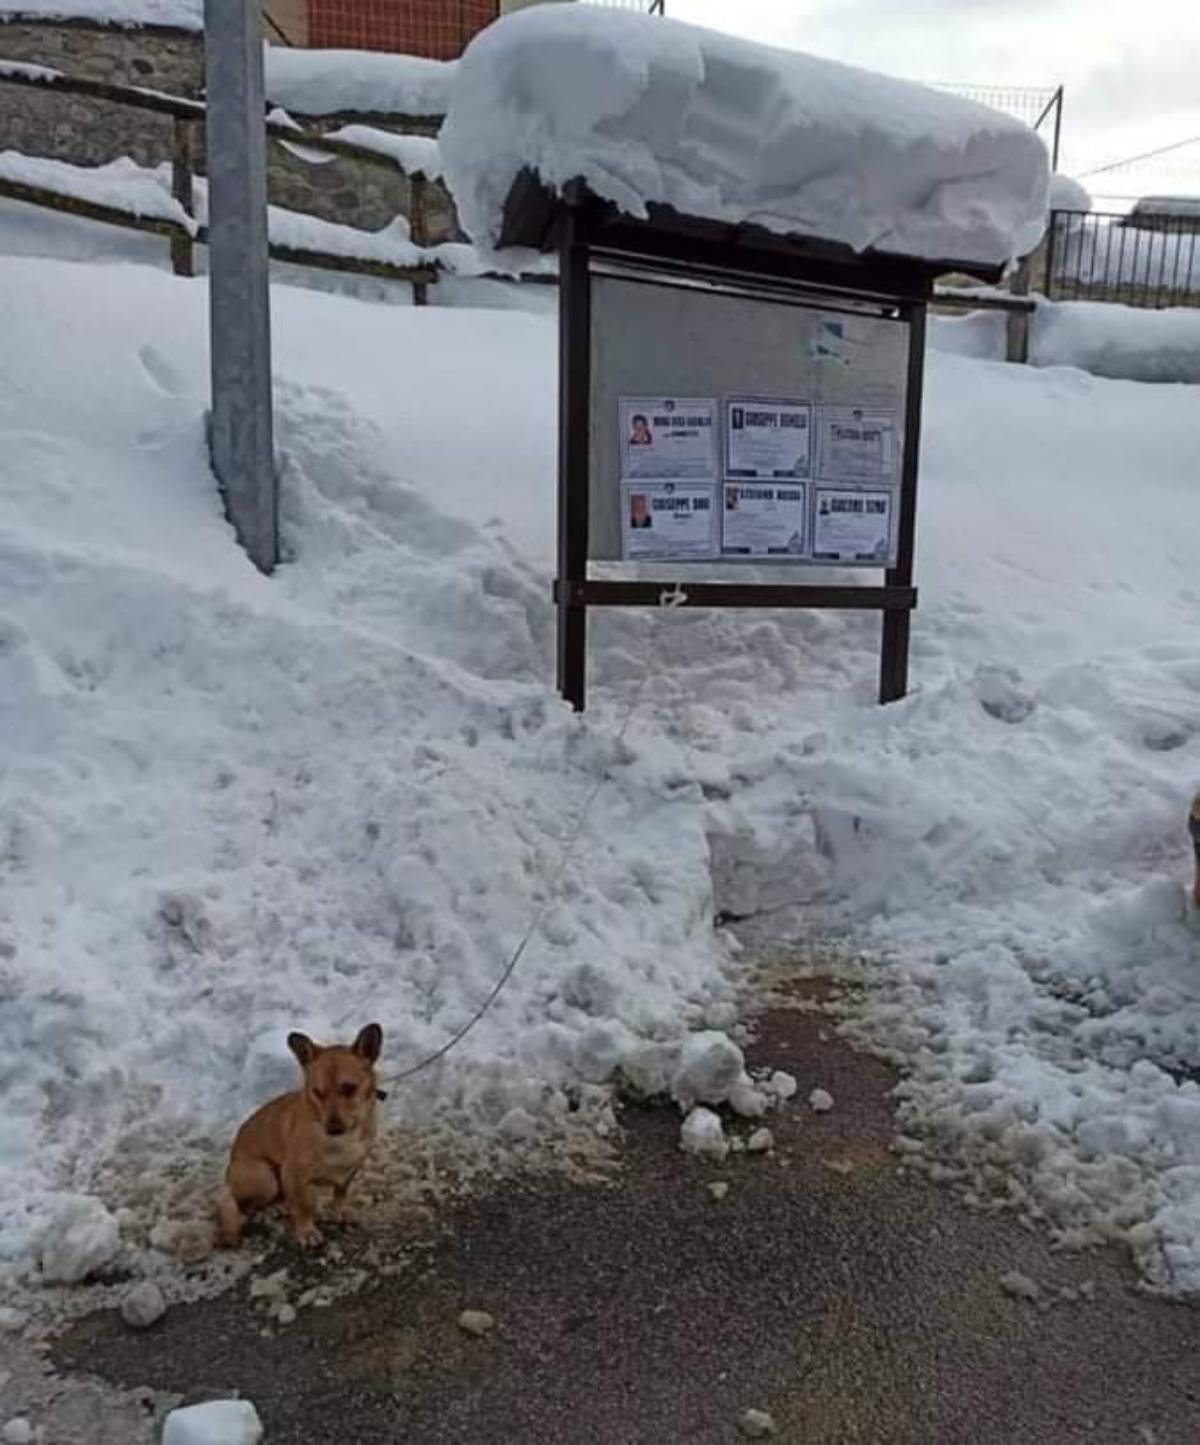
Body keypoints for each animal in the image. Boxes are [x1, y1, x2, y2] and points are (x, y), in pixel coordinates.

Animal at [216, 1023, 384, 1248]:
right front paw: (306, 1231)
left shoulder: (350, 1170)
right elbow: (304, 1207)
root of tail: (229, 1169)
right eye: (317, 1092)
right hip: (266, 1178)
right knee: (245, 1204)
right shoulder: (293, 1174)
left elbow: (340, 1194)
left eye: (350, 1088)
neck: (341, 1141)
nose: (333, 1129)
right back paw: (272, 1208)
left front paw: (340, 1211)